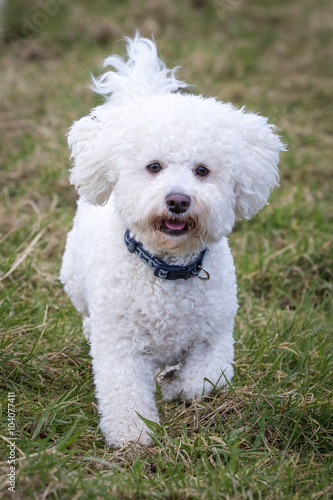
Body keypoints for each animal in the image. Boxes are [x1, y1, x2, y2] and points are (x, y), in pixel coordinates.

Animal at [61, 36, 284, 450]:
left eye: (202, 170)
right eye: (154, 167)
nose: (178, 201)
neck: (167, 270)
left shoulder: (215, 338)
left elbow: (204, 379)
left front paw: (175, 386)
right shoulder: (122, 348)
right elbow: (126, 394)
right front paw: (132, 437)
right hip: (76, 285)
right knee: (87, 315)